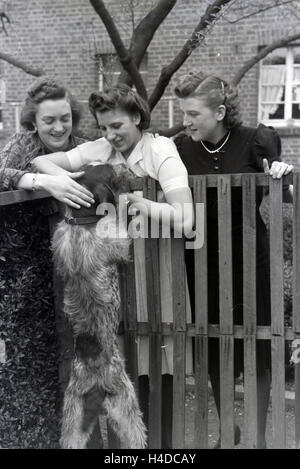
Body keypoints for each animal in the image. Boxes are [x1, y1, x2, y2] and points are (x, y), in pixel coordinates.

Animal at [51, 163, 148, 448]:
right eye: (114, 173)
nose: (124, 166)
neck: (81, 221)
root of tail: (94, 382)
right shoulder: (120, 240)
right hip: (128, 407)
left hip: (73, 422)